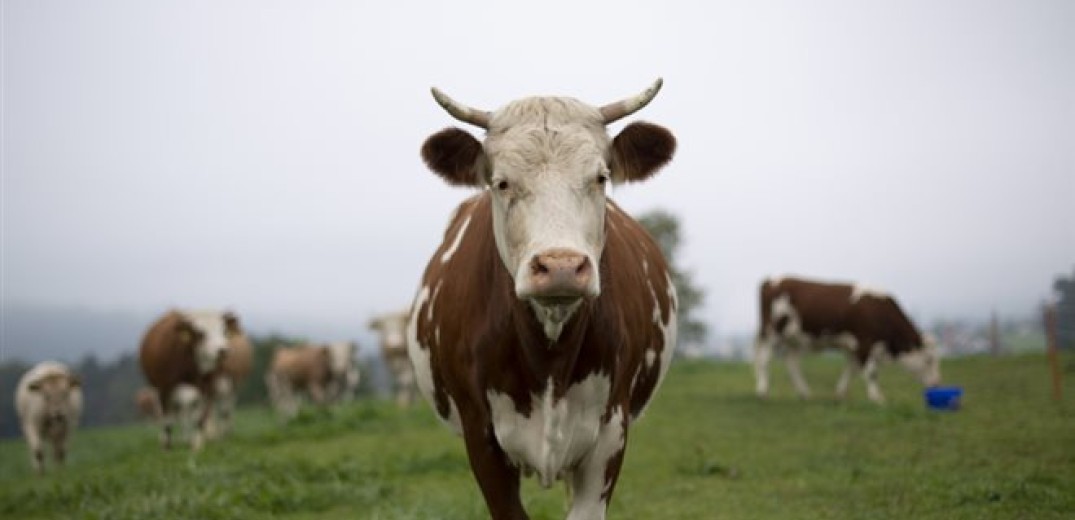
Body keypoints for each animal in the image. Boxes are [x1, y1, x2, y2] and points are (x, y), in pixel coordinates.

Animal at [137, 309, 246, 451]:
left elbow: (199, 417)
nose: (222, 350)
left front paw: (197, 445)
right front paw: (166, 446)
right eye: (201, 333)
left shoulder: (206, 388)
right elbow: (167, 419)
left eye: (224, 331)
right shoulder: (164, 388)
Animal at [406, 78, 675, 520]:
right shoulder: (481, 436)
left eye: (601, 177)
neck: (549, 356)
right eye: (501, 182)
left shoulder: (610, 434)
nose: (561, 265)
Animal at [752, 277, 946, 401]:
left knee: (791, 363)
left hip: (794, 338)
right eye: (929, 360)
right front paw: (877, 398)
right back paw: (763, 391)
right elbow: (872, 372)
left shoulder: (853, 347)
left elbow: (851, 369)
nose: (937, 383)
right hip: (772, 332)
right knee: (765, 359)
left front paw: (841, 393)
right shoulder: (864, 342)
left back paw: (804, 393)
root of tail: (772, 280)